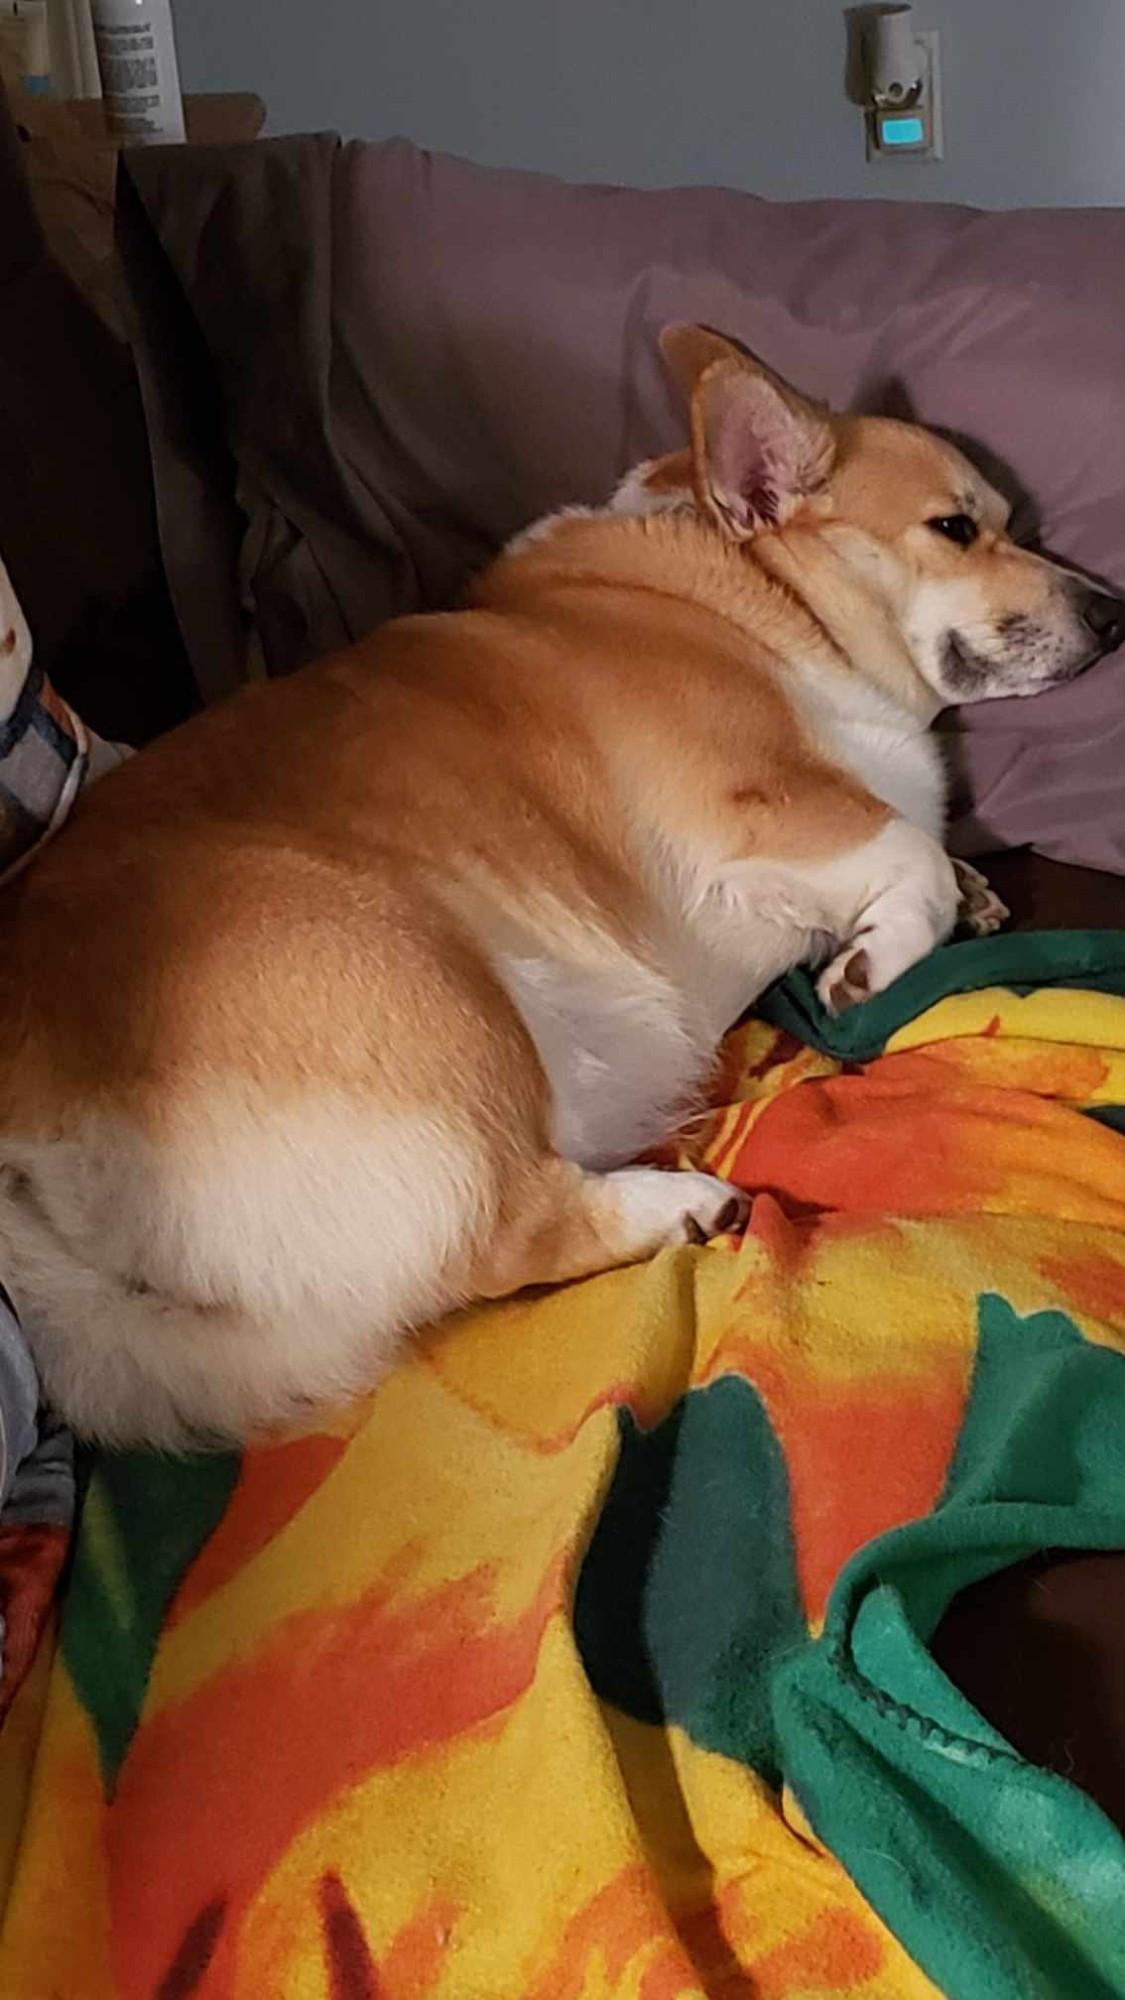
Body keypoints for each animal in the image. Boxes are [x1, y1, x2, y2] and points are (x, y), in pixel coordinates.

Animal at [0, 332, 1112, 1456]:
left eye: (1012, 521)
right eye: (956, 528)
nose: (1112, 611)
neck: (754, 588)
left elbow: (930, 858)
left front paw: (967, 896)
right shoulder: (758, 811)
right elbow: (913, 854)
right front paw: (865, 966)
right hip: (442, 998)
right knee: (501, 1235)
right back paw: (676, 1208)